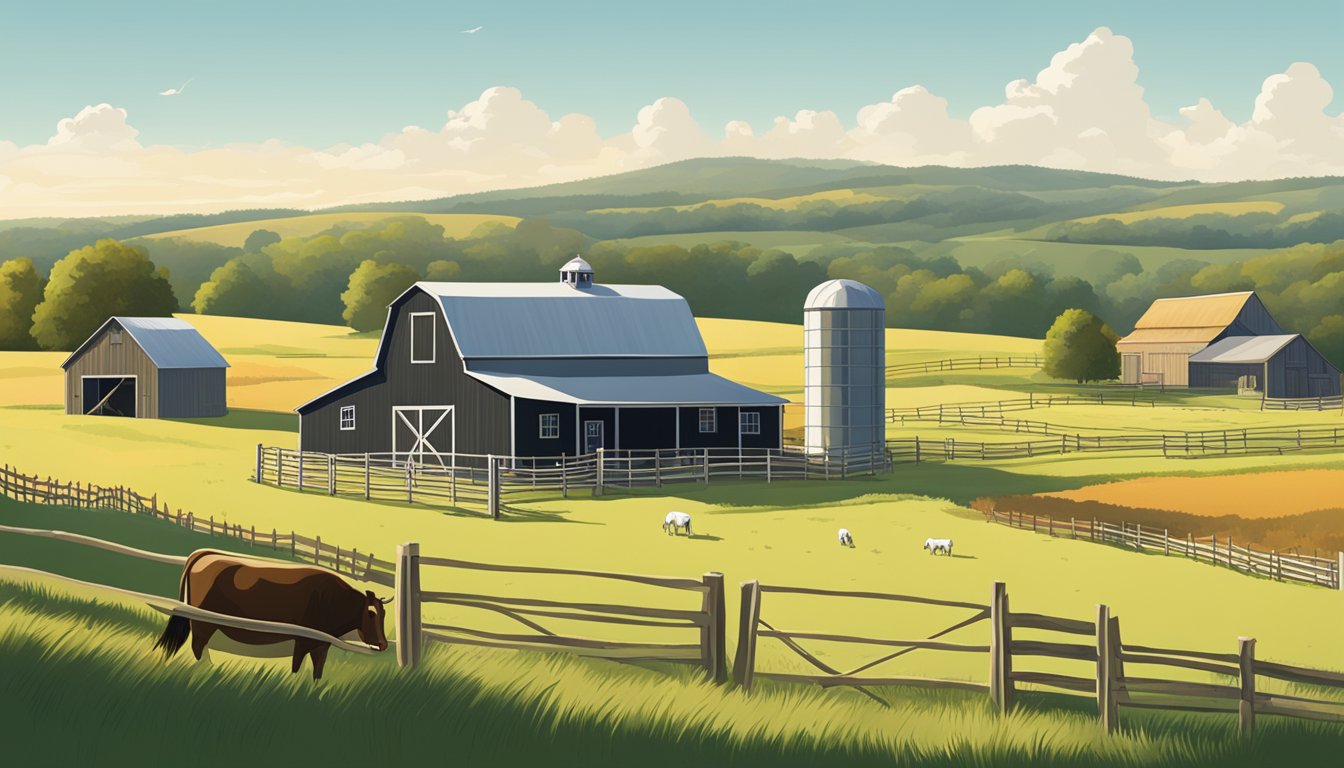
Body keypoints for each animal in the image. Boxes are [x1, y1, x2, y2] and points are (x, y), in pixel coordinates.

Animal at [156, 548, 392, 683]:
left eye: (384, 614)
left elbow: (317, 672)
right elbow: (296, 668)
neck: (330, 599)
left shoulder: (320, 645)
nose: (383, 644)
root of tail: (202, 555)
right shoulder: (303, 640)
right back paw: (207, 669)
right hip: (202, 622)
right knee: (198, 647)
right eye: (371, 614)